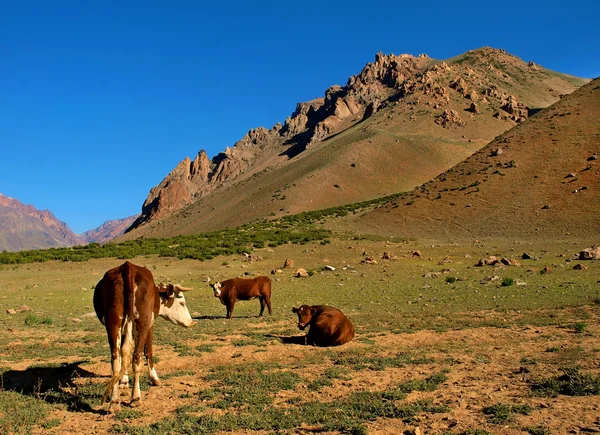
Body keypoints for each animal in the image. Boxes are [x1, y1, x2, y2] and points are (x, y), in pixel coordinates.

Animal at [94, 262, 196, 412]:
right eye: (182, 302)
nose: (192, 322)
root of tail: (128, 268)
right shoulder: (149, 325)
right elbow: (148, 351)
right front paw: (154, 378)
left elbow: (124, 353)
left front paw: (123, 380)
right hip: (142, 324)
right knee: (137, 357)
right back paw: (136, 398)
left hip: (114, 323)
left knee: (116, 358)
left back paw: (114, 401)